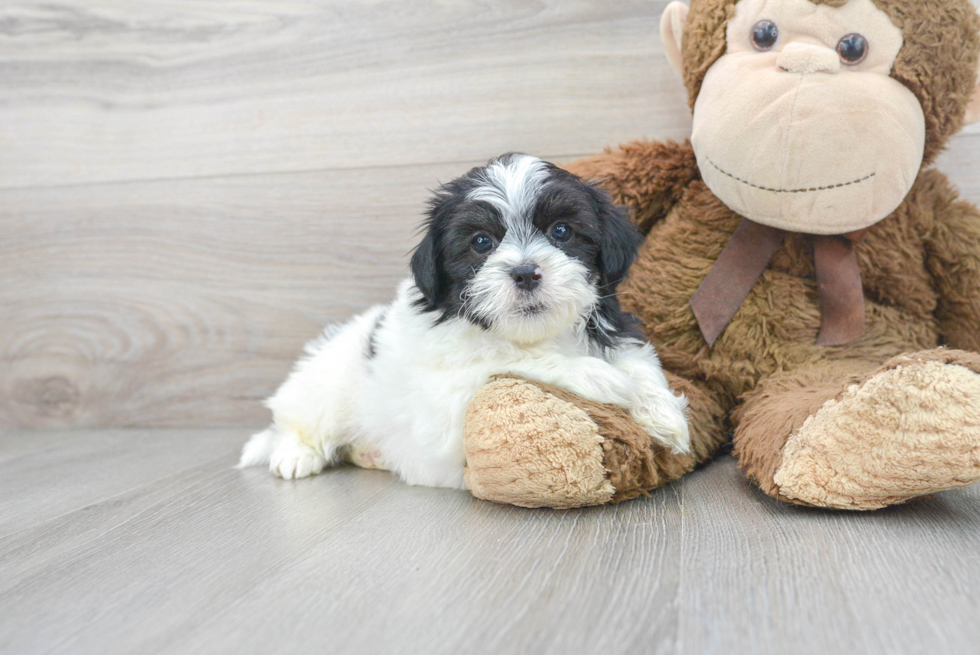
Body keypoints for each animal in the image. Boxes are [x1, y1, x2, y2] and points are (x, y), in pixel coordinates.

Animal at [239, 154, 688, 490]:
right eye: (481, 242)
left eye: (562, 231)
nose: (525, 273)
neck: (534, 334)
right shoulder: (446, 403)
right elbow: (510, 360)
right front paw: (600, 377)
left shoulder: (617, 331)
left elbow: (641, 362)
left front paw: (666, 416)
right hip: (324, 389)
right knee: (296, 422)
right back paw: (294, 455)